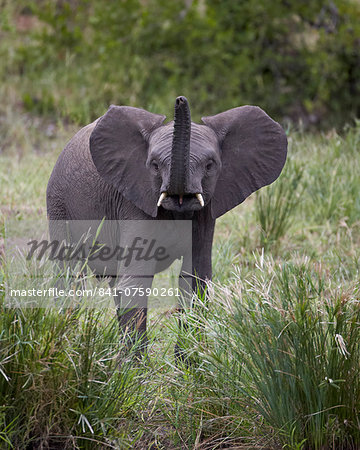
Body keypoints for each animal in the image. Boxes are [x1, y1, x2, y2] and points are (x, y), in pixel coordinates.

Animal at [46, 96, 286, 352]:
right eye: (154, 165)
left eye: (210, 165)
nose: (180, 100)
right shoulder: (134, 199)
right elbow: (136, 278)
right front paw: (135, 364)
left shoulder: (206, 211)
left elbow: (195, 278)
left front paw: (190, 360)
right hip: (58, 204)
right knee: (70, 276)